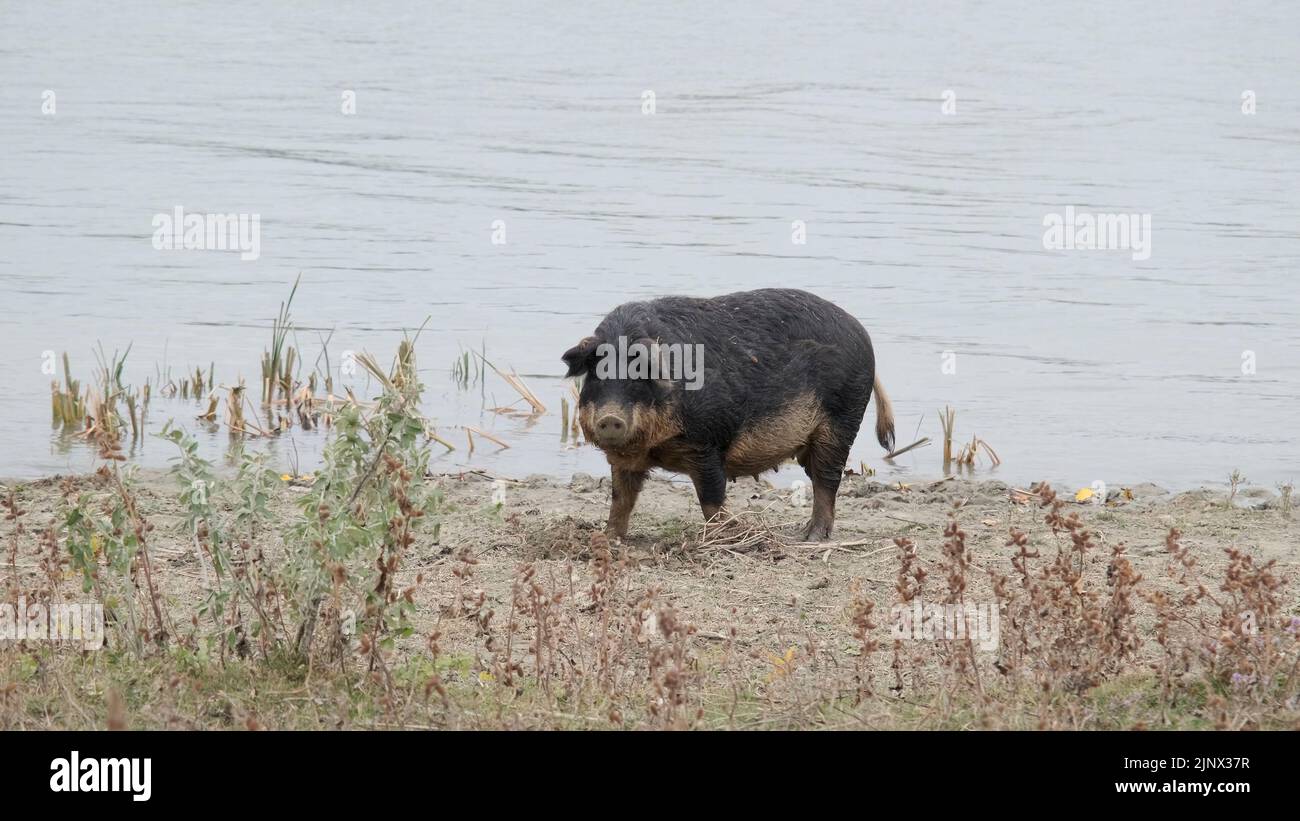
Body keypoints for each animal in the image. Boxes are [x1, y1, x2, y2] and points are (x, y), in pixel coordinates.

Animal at [559, 287, 894, 537]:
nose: (610, 418)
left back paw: (810, 537)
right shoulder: (626, 461)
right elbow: (621, 500)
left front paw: (723, 536)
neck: (655, 446)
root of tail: (863, 335)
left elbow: (711, 498)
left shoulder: (707, 444)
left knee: (828, 480)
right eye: (596, 375)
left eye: (641, 377)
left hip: (842, 422)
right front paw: (608, 538)